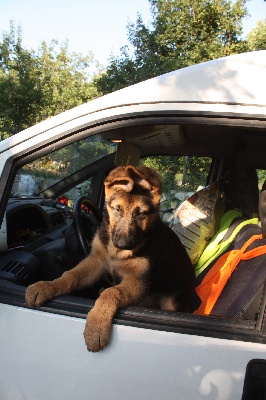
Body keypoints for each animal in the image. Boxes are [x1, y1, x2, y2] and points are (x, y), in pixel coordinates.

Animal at [26, 165, 194, 350]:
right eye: (117, 209)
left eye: (141, 214)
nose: (122, 244)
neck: (116, 254)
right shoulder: (97, 261)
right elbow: (70, 275)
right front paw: (46, 286)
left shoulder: (138, 280)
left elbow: (111, 292)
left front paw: (97, 325)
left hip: (171, 301)